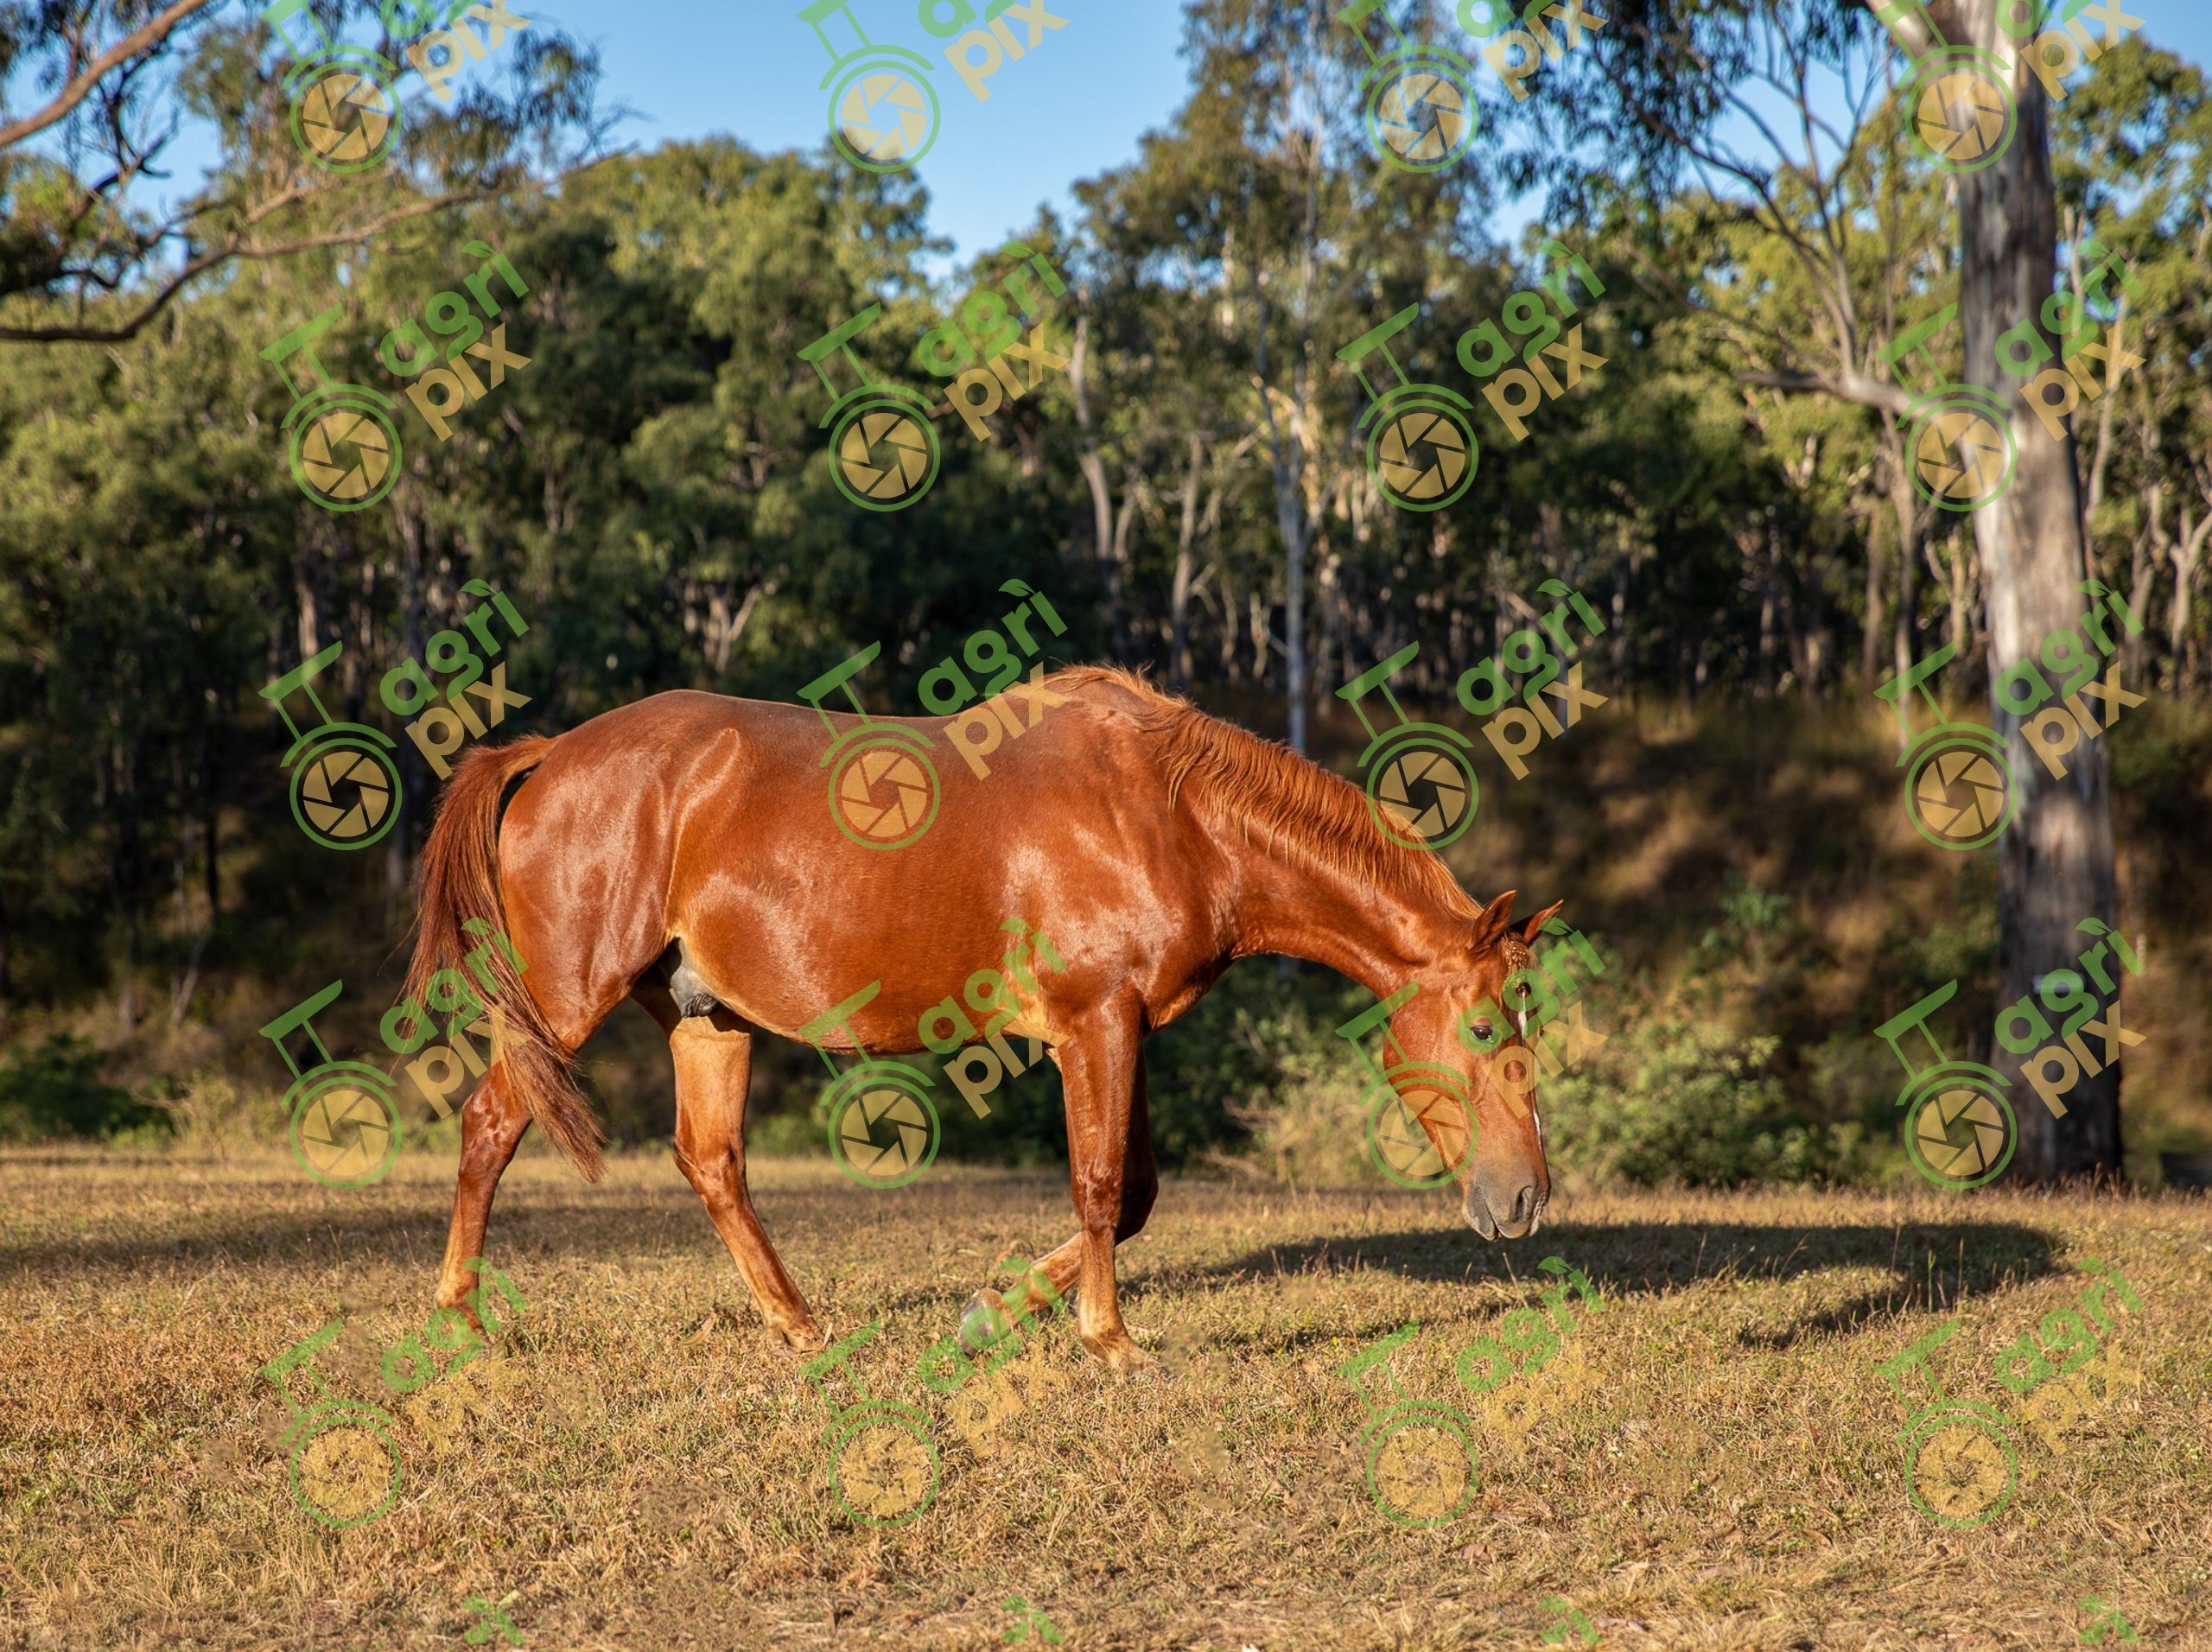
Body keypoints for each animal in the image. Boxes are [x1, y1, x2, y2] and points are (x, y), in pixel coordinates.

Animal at [403, 665, 1563, 1373]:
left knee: (711, 1160)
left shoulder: (1125, 1029)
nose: (1523, 1199)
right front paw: (1109, 1342)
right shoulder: (1096, 1023)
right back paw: (458, 1319)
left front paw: (990, 1317)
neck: (1174, 814)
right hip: (565, 1002)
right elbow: (1102, 1188)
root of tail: (550, 754)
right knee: (490, 1125)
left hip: (707, 1015)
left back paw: (800, 1327)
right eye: (1482, 1030)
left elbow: (1135, 1195)